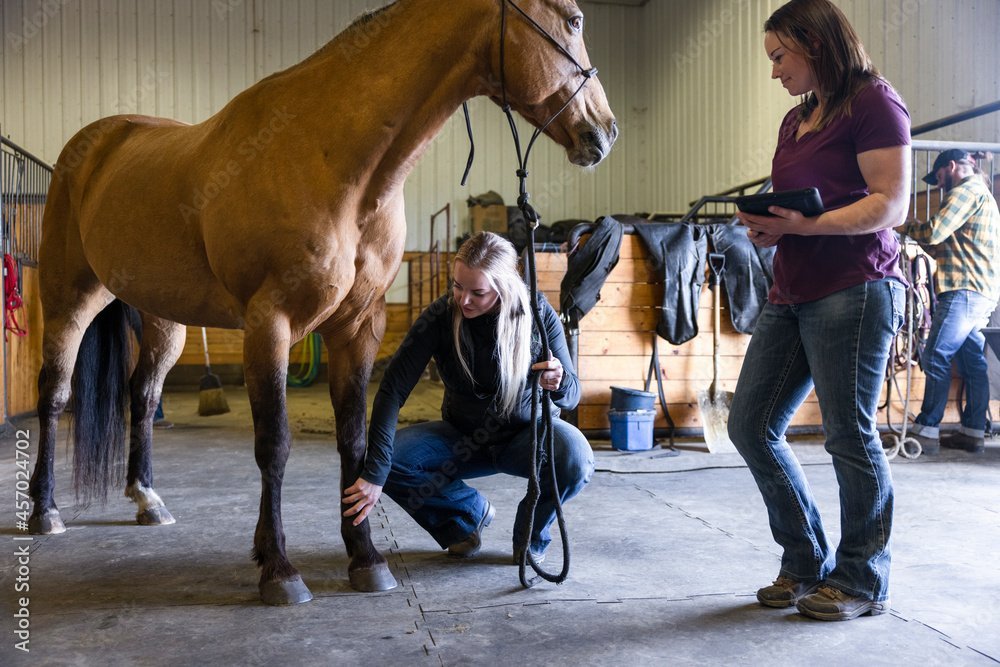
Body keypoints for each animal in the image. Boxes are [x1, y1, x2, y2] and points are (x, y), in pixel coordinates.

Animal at [27, 0, 616, 605]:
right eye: (573, 20)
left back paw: (147, 499)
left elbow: (356, 441)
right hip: (72, 296)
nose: (604, 130)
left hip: (163, 317)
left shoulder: (357, 326)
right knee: (54, 393)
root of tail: (91, 147)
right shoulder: (270, 324)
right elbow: (274, 445)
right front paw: (279, 569)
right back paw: (45, 511)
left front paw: (366, 557)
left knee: (142, 395)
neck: (332, 160)